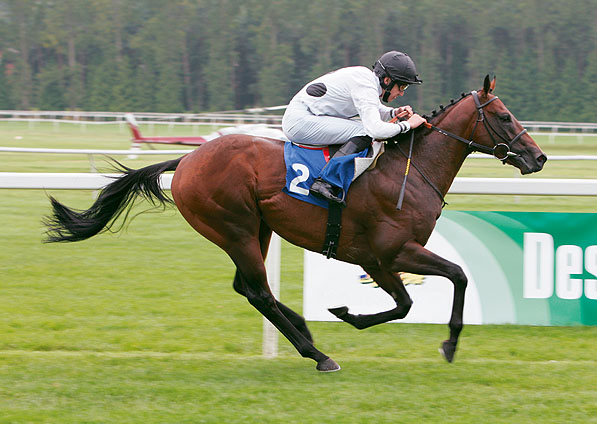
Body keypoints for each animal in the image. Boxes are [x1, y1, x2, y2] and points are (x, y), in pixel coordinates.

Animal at [45, 76, 544, 372]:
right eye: (504, 116)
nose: (538, 158)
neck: (408, 170)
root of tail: (186, 159)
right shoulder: (389, 253)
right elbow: (441, 284)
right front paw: (444, 342)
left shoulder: (383, 259)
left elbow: (418, 297)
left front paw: (350, 315)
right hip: (235, 227)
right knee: (259, 292)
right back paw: (317, 354)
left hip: (256, 230)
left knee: (247, 288)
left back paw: (304, 329)